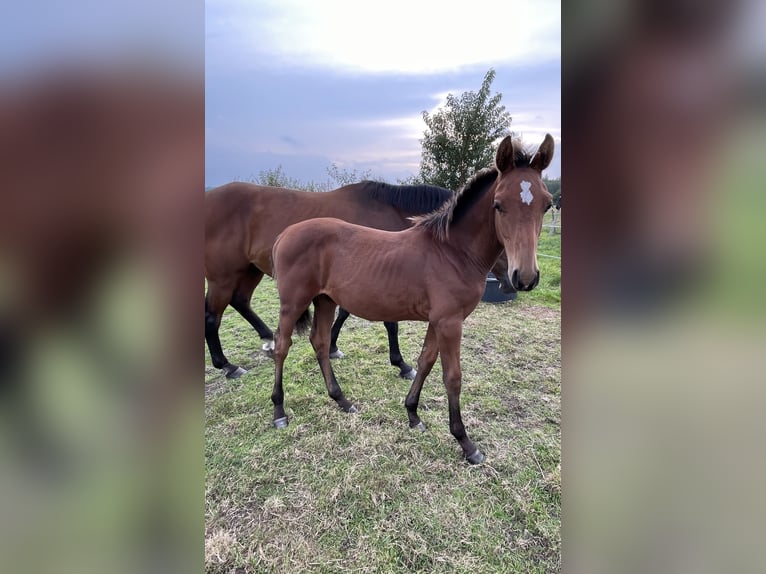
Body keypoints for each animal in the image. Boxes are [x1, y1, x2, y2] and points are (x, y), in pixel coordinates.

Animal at [207, 182, 512, 380]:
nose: (513, 281)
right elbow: (389, 323)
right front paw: (401, 364)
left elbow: (343, 313)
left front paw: (332, 345)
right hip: (224, 276)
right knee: (213, 316)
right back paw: (227, 365)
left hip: (248, 270)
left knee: (240, 302)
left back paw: (268, 340)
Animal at [272, 134, 556, 464]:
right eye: (498, 204)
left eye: (547, 204)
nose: (523, 278)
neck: (452, 252)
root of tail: (284, 234)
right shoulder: (450, 322)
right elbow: (452, 376)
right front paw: (466, 443)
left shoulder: (438, 320)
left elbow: (425, 362)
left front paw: (412, 414)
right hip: (293, 303)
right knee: (281, 345)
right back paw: (279, 410)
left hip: (325, 300)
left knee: (319, 342)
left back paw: (342, 400)